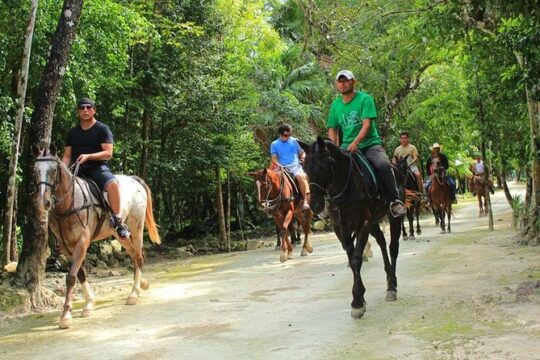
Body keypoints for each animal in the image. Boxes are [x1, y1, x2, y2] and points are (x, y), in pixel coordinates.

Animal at [33, 147, 160, 330]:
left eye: (54, 170)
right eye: (36, 171)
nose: (44, 202)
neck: (70, 202)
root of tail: (134, 180)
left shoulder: (82, 242)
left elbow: (71, 277)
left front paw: (66, 316)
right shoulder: (66, 246)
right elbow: (80, 274)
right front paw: (88, 304)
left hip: (136, 226)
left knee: (139, 256)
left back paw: (134, 294)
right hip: (119, 234)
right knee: (134, 255)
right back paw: (141, 285)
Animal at [300, 137, 400, 318]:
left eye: (323, 166)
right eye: (305, 168)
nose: (315, 205)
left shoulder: (363, 224)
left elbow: (356, 259)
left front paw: (357, 303)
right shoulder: (341, 228)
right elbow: (351, 258)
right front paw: (360, 297)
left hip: (392, 216)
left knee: (393, 247)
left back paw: (392, 286)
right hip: (373, 222)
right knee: (382, 241)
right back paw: (389, 278)